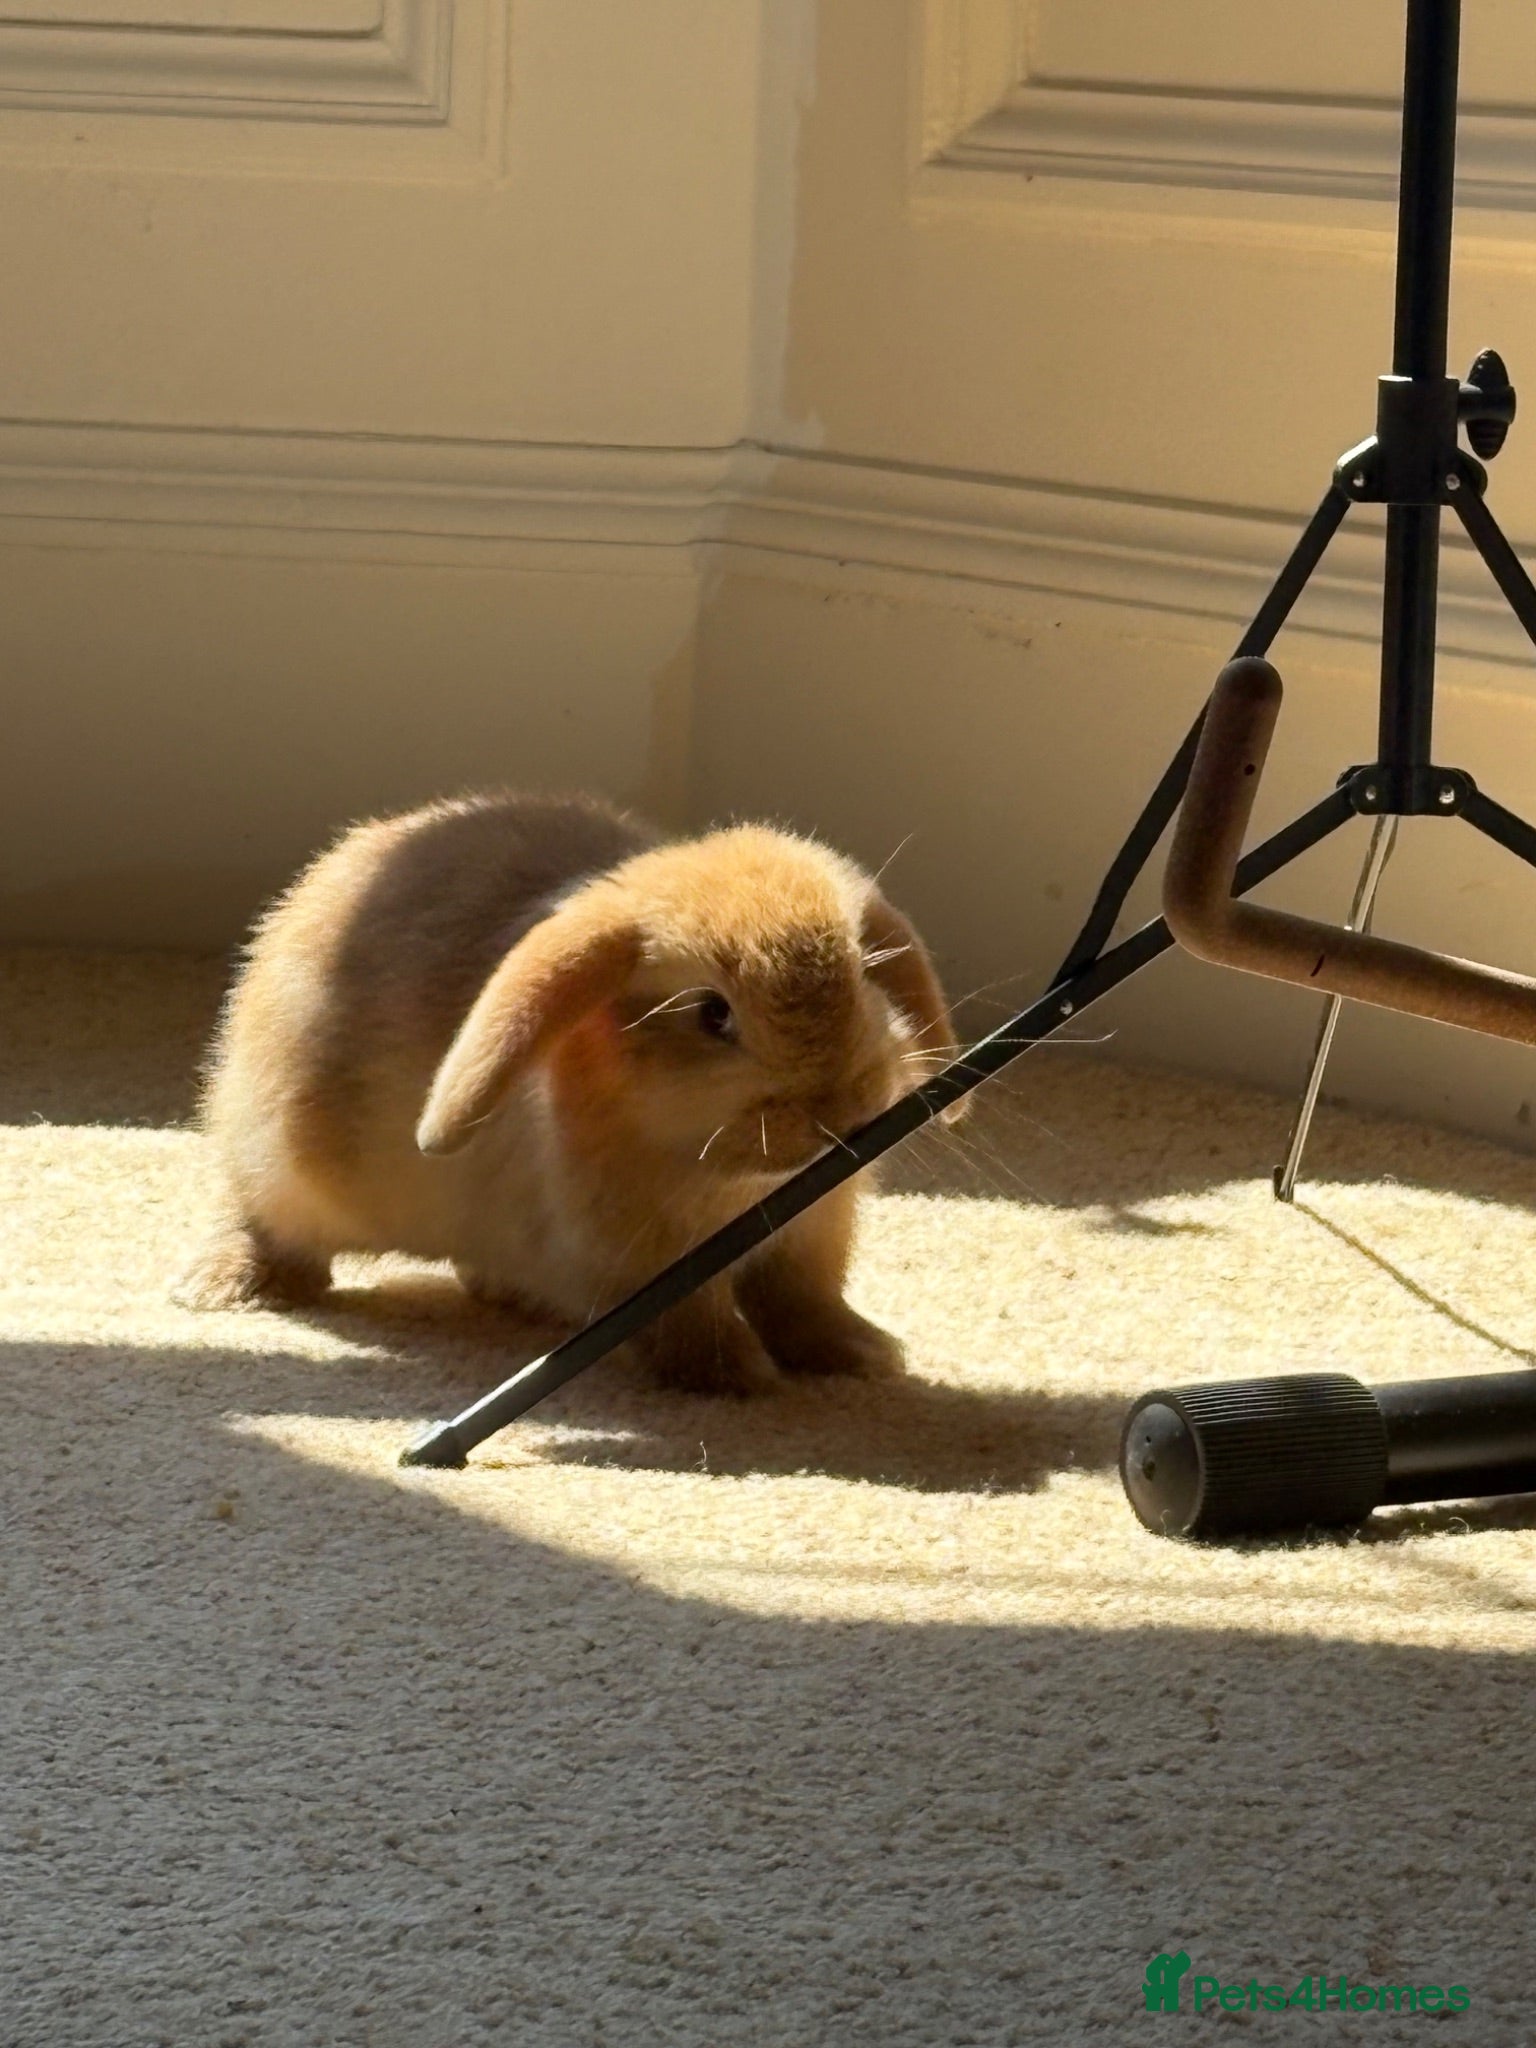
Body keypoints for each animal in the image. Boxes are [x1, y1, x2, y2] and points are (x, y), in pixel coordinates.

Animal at [173, 790, 960, 1395]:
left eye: (864, 977)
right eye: (712, 1014)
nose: (842, 1110)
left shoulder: (808, 1240)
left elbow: (804, 1303)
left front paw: (863, 1355)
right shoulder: (641, 1266)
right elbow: (693, 1325)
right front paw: (739, 1377)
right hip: (285, 1172)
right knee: (270, 1229)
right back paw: (223, 1285)